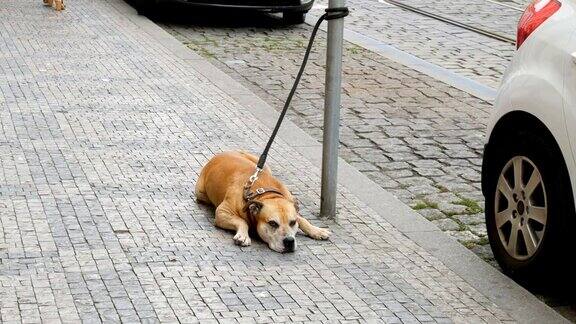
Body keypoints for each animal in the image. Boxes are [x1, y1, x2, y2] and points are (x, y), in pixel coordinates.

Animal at [197, 151, 328, 252]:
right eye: (273, 223)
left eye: (292, 222)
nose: (289, 241)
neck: (267, 195)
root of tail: (221, 154)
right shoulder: (222, 212)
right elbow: (241, 221)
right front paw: (243, 236)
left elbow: (303, 220)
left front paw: (317, 230)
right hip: (200, 192)